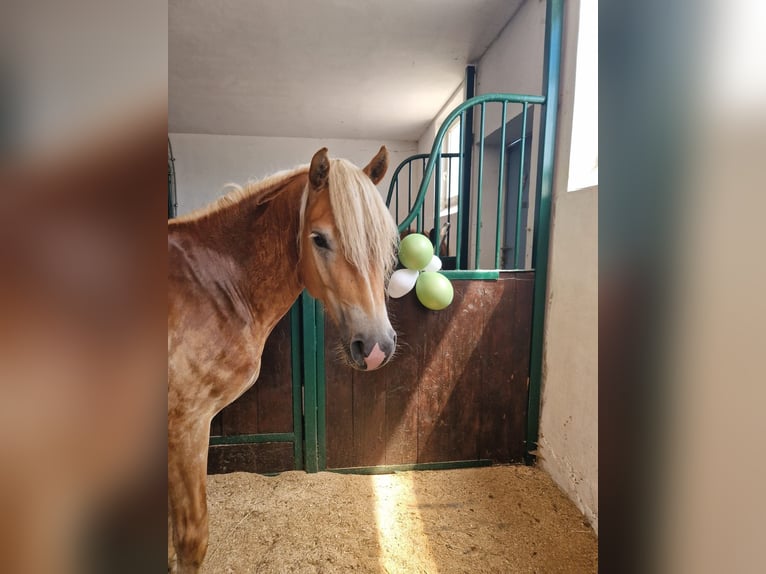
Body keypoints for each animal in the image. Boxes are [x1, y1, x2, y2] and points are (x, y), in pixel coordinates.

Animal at [169, 147, 402, 572]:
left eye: (382, 241)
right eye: (319, 239)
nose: (377, 346)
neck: (210, 286)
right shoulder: (186, 426)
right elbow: (191, 541)